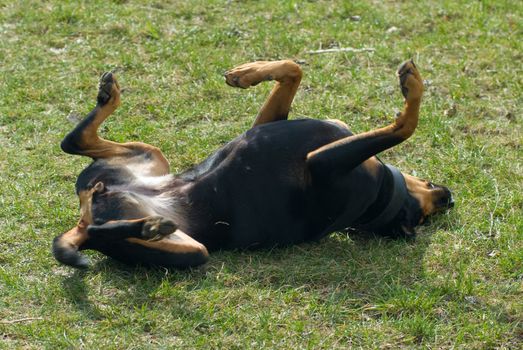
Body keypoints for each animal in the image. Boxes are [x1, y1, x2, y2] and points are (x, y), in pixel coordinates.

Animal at [52, 59, 454, 268]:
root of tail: (89, 208)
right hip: (150, 156)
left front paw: (414, 86)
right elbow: (294, 70)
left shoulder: (321, 162)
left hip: (193, 251)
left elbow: (406, 125)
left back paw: (150, 225)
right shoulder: (269, 128)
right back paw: (108, 96)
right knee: (73, 142)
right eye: (427, 211)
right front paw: (247, 73)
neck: (382, 198)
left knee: (97, 229)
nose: (450, 197)